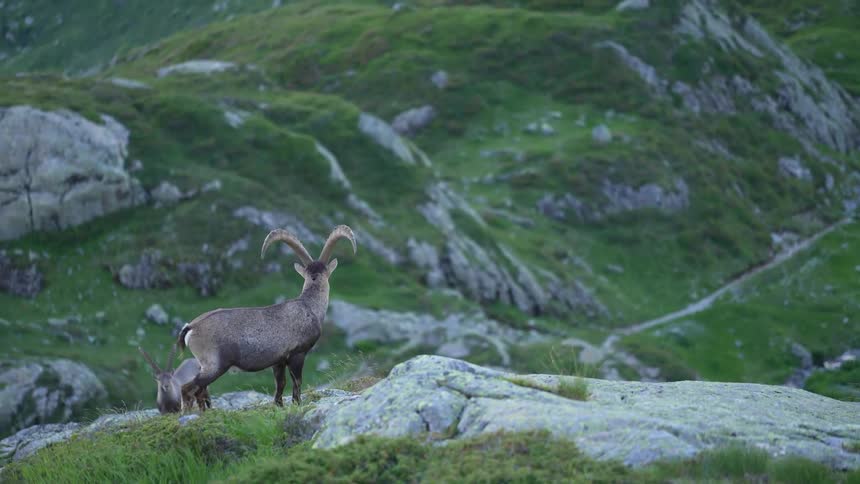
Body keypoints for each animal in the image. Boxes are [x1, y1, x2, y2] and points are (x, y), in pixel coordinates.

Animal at [177, 225, 356, 406]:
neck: (309, 306)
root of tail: (191, 327)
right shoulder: (297, 355)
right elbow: (297, 382)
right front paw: (296, 404)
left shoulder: (278, 361)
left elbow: (280, 384)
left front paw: (279, 405)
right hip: (214, 365)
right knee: (188, 389)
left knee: (199, 392)